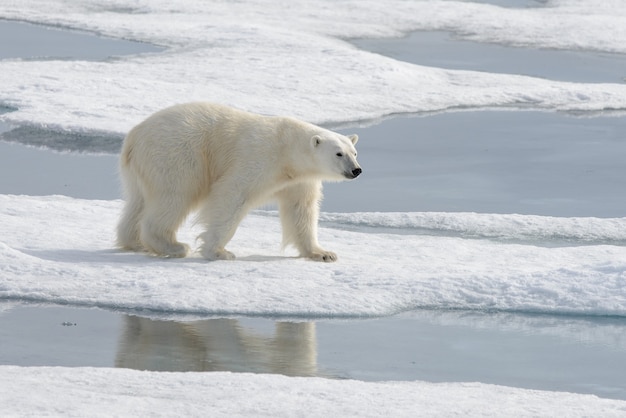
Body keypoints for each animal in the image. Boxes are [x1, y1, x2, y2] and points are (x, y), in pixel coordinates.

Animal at [116, 102, 360, 262]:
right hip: (177, 155)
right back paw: (173, 246)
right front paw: (219, 252)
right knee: (174, 196)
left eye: (354, 152)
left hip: (141, 169)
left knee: (137, 203)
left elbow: (301, 210)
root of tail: (134, 136)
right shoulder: (257, 159)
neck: (287, 151)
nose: (356, 170)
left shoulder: (299, 180)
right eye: (339, 153)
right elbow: (231, 196)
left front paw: (323, 253)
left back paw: (134, 242)